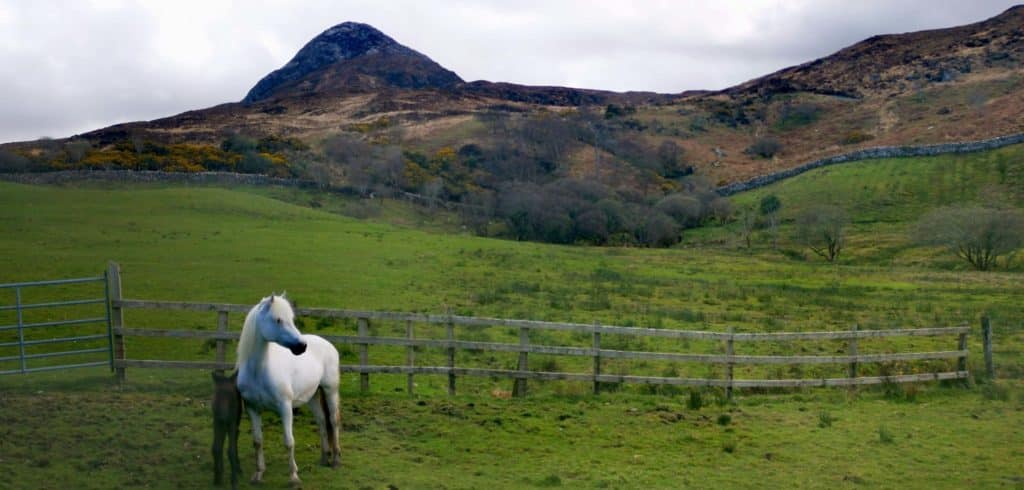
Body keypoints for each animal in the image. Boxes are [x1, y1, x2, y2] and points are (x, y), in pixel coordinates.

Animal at [234, 292, 339, 484]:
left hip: (330, 390)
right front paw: (258, 474)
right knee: (321, 420)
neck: (258, 371)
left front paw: (294, 477)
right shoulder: (252, 408)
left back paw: (335, 460)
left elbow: (289, 441)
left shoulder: (285, 407)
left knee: (333, 421)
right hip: (312, 396)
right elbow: (257, 441)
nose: (302, 346)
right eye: (278, 320)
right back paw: (324, 458)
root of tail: (328, 344)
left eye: (291, 319)